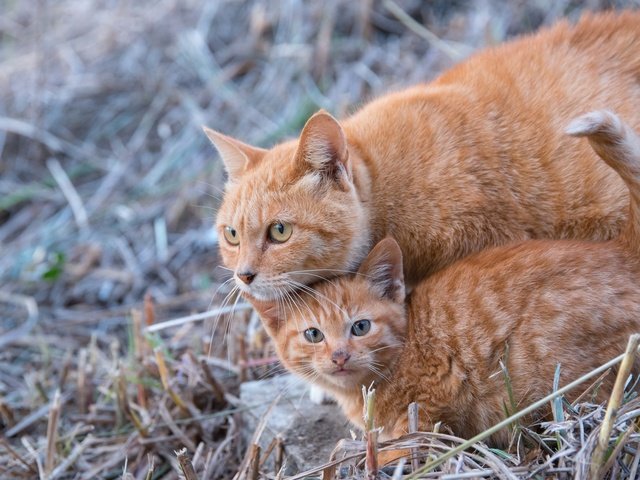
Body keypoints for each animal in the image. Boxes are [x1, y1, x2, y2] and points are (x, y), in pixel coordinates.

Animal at [250, 110, 640, 448]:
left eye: (361, 327)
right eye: (313, 335)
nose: (340, 356)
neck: (406, 345)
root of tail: (622, 249)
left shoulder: (427, 415)